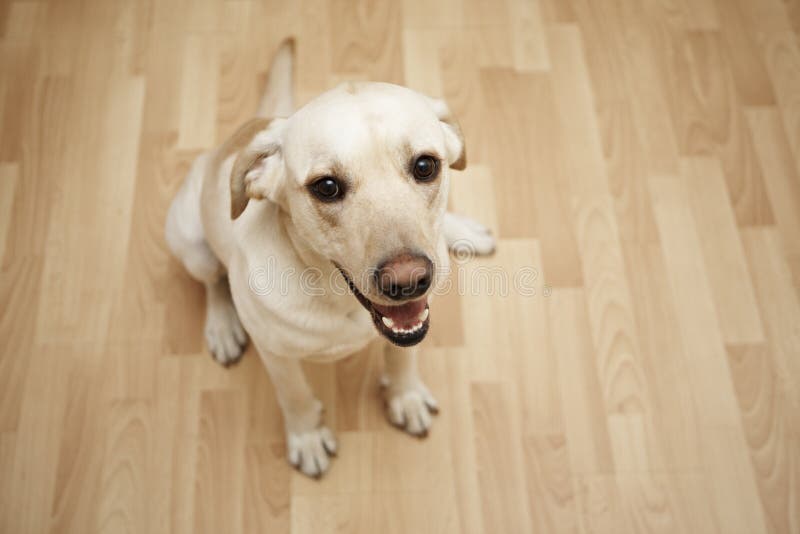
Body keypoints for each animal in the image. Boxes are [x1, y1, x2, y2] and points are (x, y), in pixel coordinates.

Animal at [165, 39, 494, 480]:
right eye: (326, 187)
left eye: (425, 165)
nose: (408, 280)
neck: (337, 297)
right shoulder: (277, 355)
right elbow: (295, 396)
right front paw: (306, 436)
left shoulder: (413, 322)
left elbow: (402, 357)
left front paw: (405, 395)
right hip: (190, 242)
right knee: (212, 283)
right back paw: (223, 325)